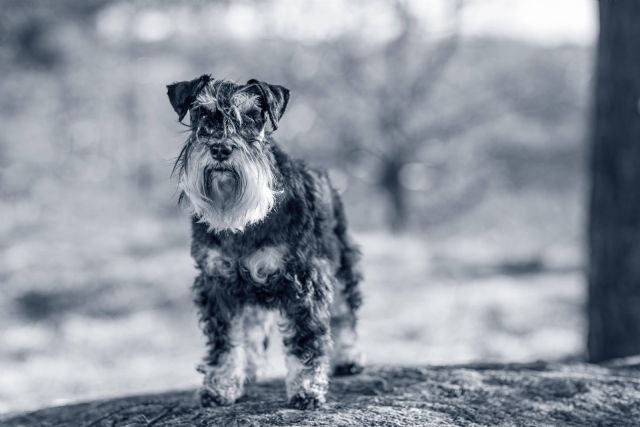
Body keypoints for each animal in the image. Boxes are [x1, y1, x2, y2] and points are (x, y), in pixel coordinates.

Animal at [166, 75, 364, 410]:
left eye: (251, 117)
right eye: (201, 113)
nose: (221, 148)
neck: (242, 222)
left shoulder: (304, 280)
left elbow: (305, 341)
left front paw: (306, 390)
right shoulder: (217, 284)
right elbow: (226, 343)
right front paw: (220, 386)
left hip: (342, 263)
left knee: (344, 313)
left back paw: (349, 358)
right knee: (252, 329)